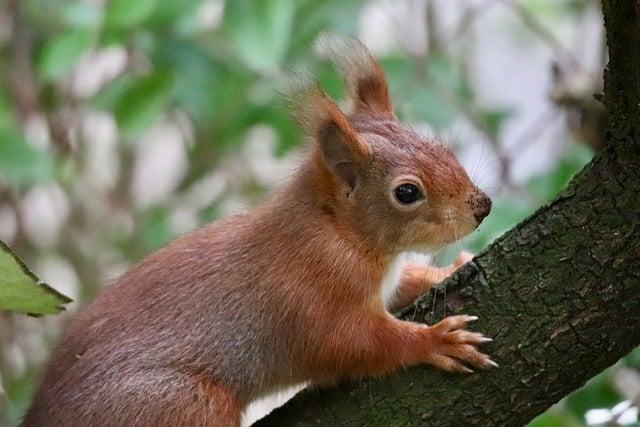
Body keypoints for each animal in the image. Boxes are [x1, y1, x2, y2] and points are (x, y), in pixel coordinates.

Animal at [22, 36, 496, 427]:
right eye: (407, 192)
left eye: (439, 145)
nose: (483, 207)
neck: (337, 229)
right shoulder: (312, 296)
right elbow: (355, 344)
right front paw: (434, 340)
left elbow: (406, 283)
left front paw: (446, 269)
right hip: (182, 404)